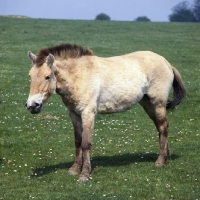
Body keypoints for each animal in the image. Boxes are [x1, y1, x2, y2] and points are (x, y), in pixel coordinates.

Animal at [25, 43, 186, 182]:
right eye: (30, 76)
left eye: (47, 76)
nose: (32, 105)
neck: (79, 75)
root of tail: (166, 62)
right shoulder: (74, 114)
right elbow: (78, 141)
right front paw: (75, 169)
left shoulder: (88, 114)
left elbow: (86, 143)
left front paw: (84, 174)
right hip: (148, 104)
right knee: (160, 127)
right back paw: (165, 156)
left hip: (157, 104)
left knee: (163, 127)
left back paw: (160, 161)